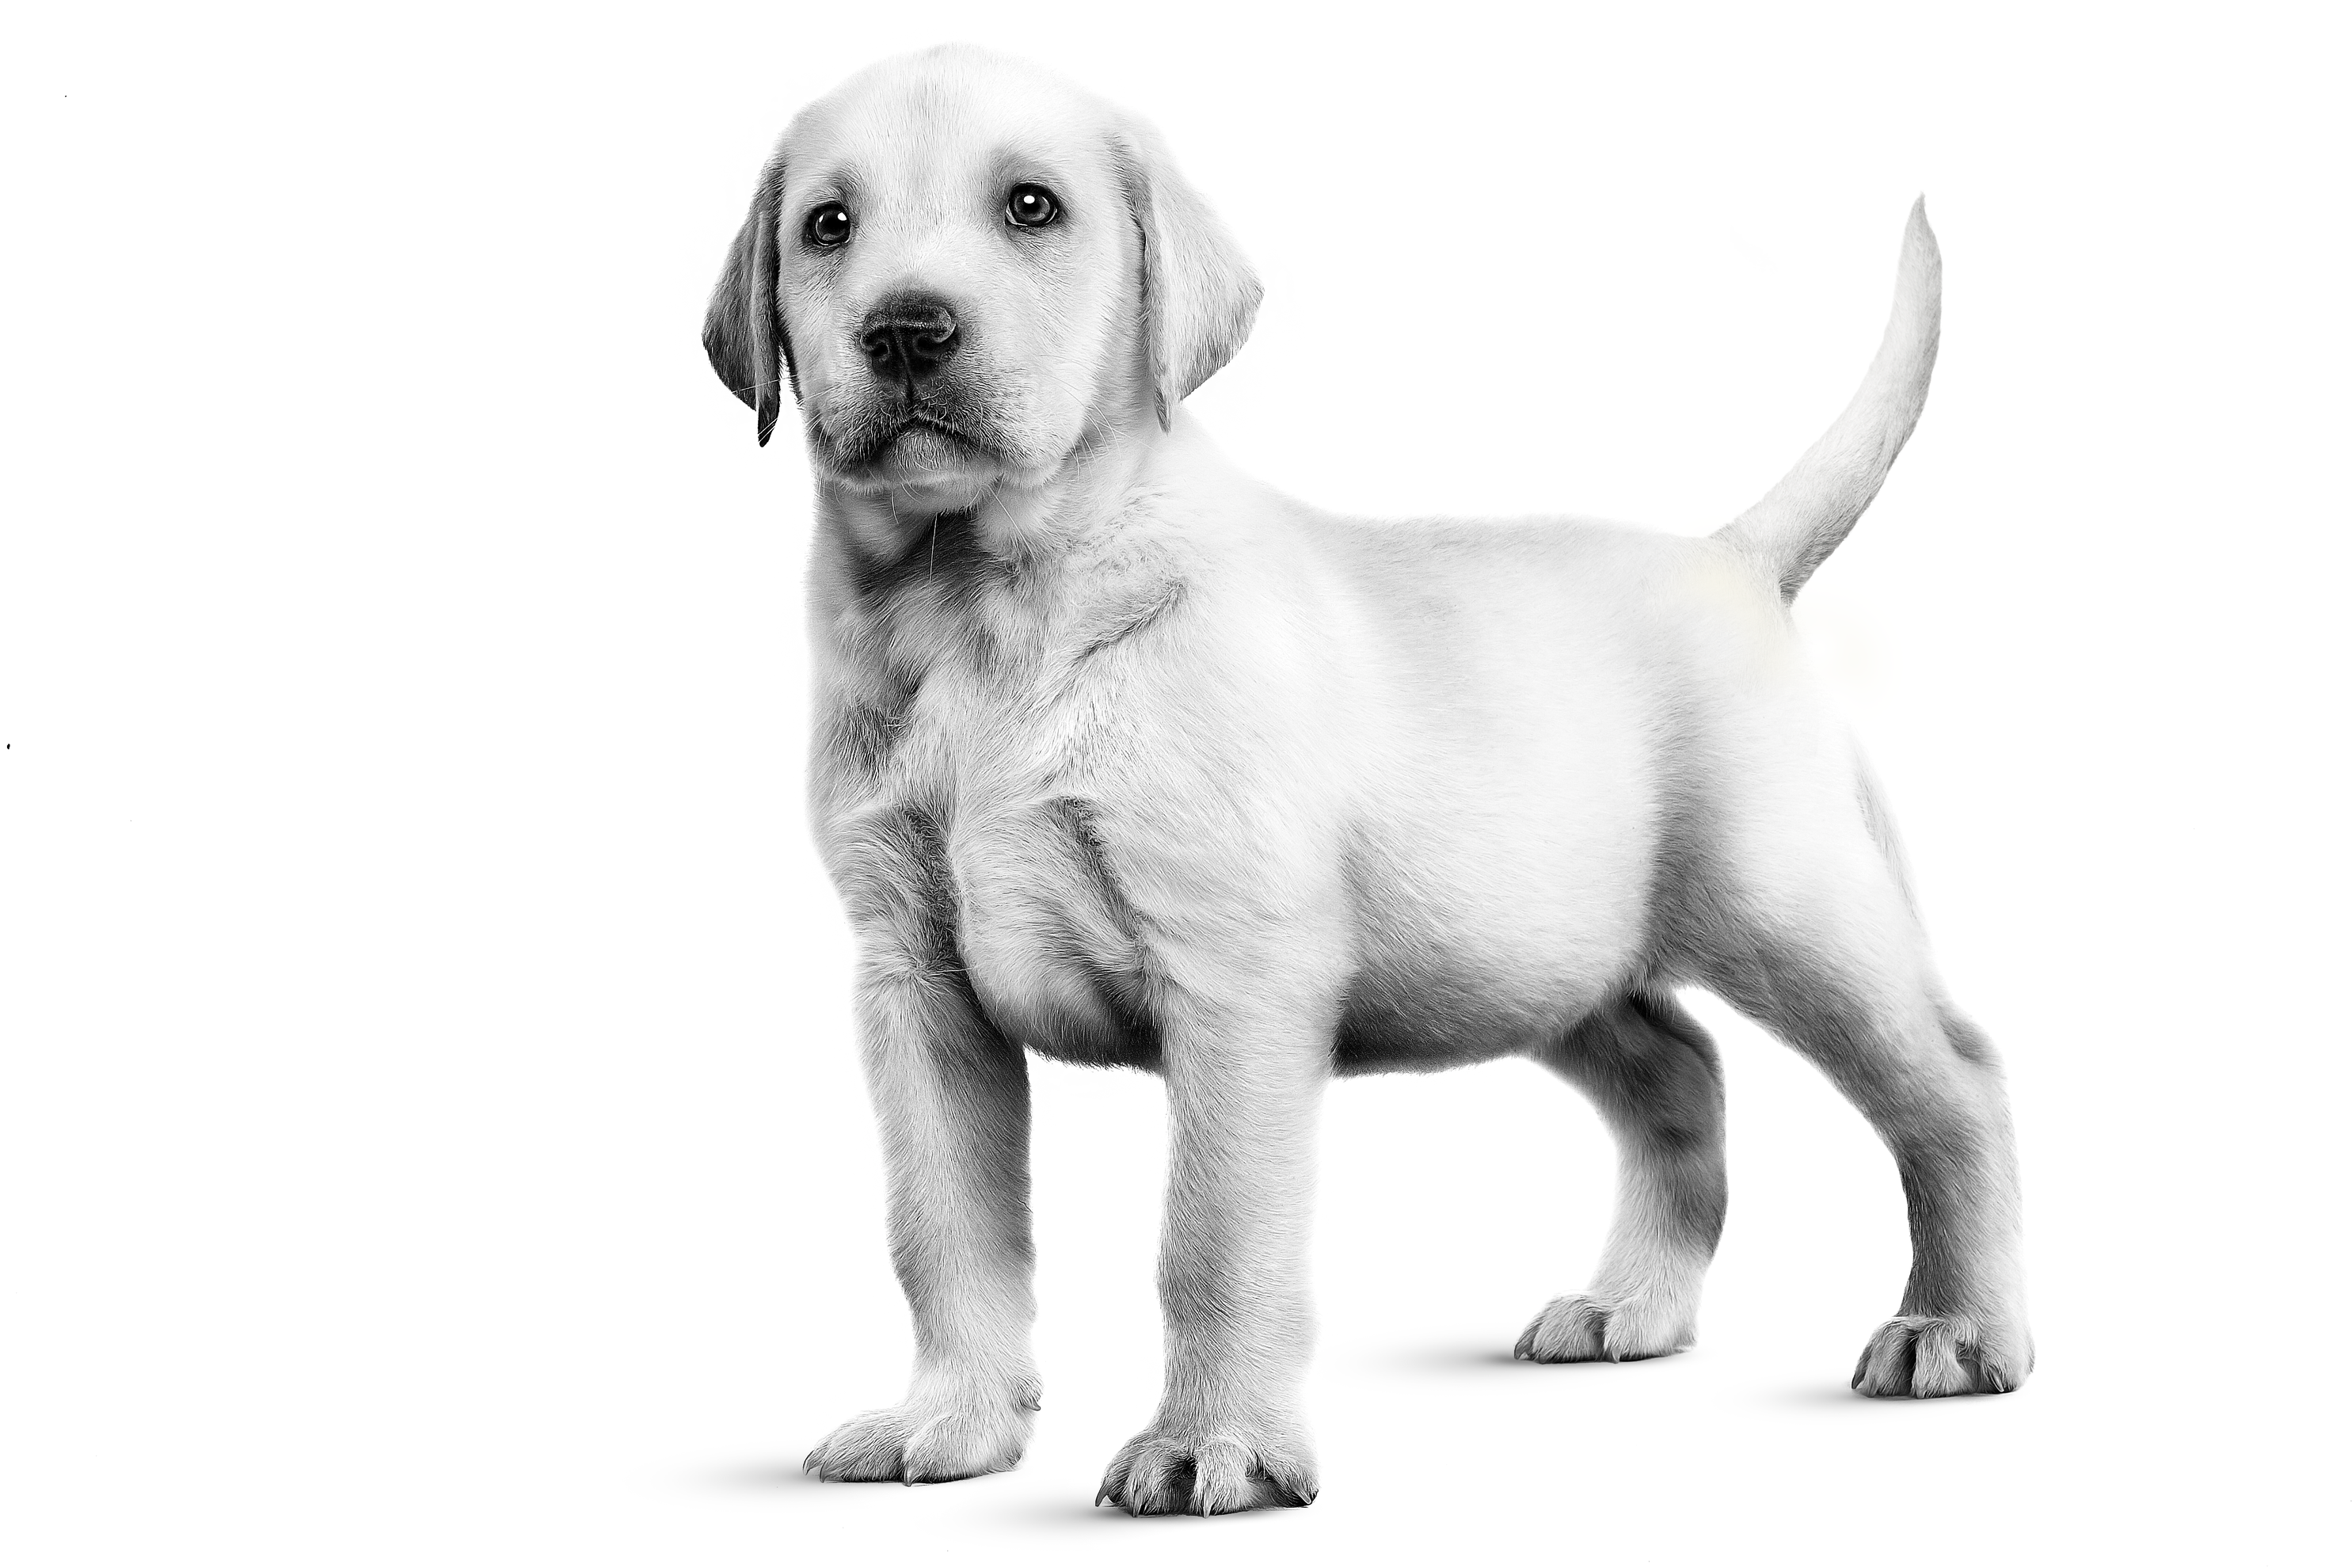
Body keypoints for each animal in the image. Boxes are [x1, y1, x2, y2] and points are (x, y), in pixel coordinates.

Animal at [696, 46, 2023, 1523]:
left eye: (1032, 206)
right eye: (826, 225)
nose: (907, 332)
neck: (982, 603)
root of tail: (1729, 556)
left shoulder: (1234, 982)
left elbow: (1210, 1238)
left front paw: (1210, 1446)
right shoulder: (917, 987)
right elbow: (944, 1232)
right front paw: (954, 1419)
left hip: (1790, 909)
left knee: (1955, 1079)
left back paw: (1957, 1326)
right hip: (1534, 956)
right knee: (1682, 1074)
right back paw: (1631, 1304)